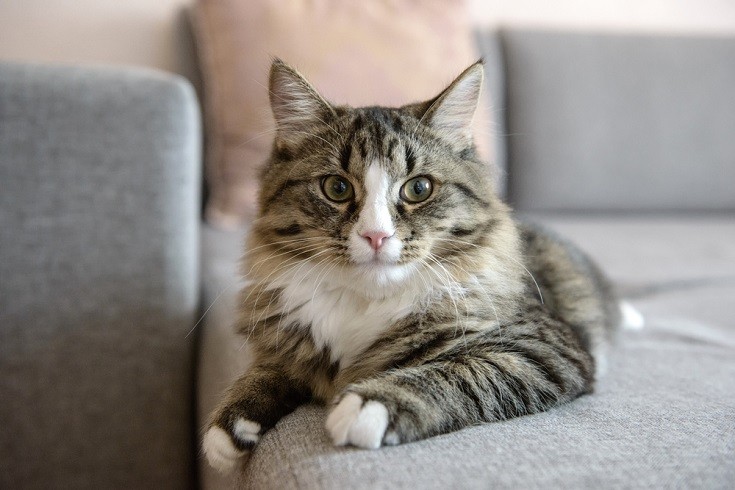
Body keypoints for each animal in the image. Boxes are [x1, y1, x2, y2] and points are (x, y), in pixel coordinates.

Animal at [201, 58, 620, 470]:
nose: (376, 236)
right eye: (337, 188)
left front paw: (371, 404)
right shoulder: (287, 341)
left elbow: (459, 372)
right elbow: (267, 372)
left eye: (419, 189)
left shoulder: (540, 347)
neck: (364, 303)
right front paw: (230, 424)